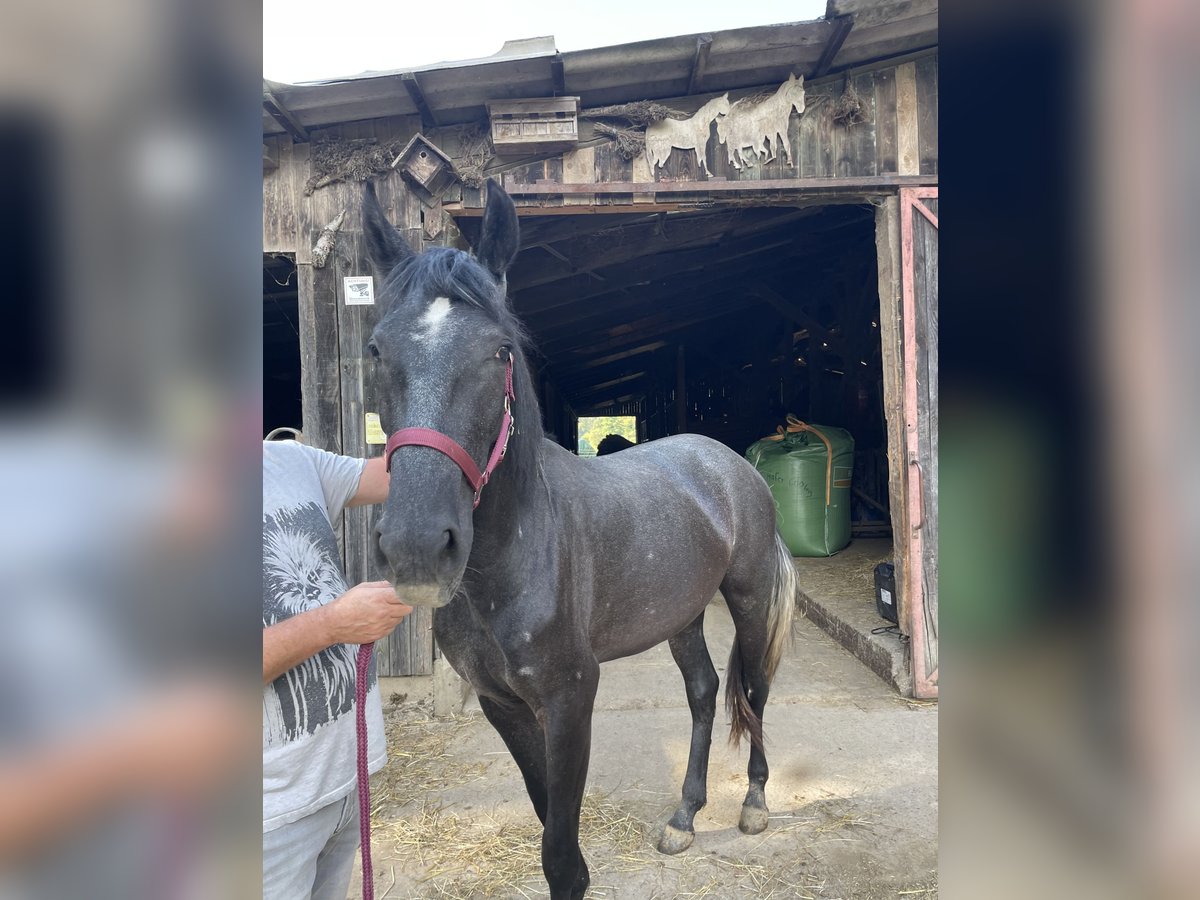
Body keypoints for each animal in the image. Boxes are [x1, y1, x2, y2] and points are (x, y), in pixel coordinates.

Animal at [360, 177, 801, 900]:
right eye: (376, 349)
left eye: (501, 350)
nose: (417, 546)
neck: (510, 562)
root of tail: (731, 464)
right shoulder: (503, 706)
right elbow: (548, 820)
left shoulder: (570, 698)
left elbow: (562, 860)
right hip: (680, 614)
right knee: (705, 692)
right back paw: (684, 815)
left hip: (750, 598)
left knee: (754, 691)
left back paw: (755, 805)